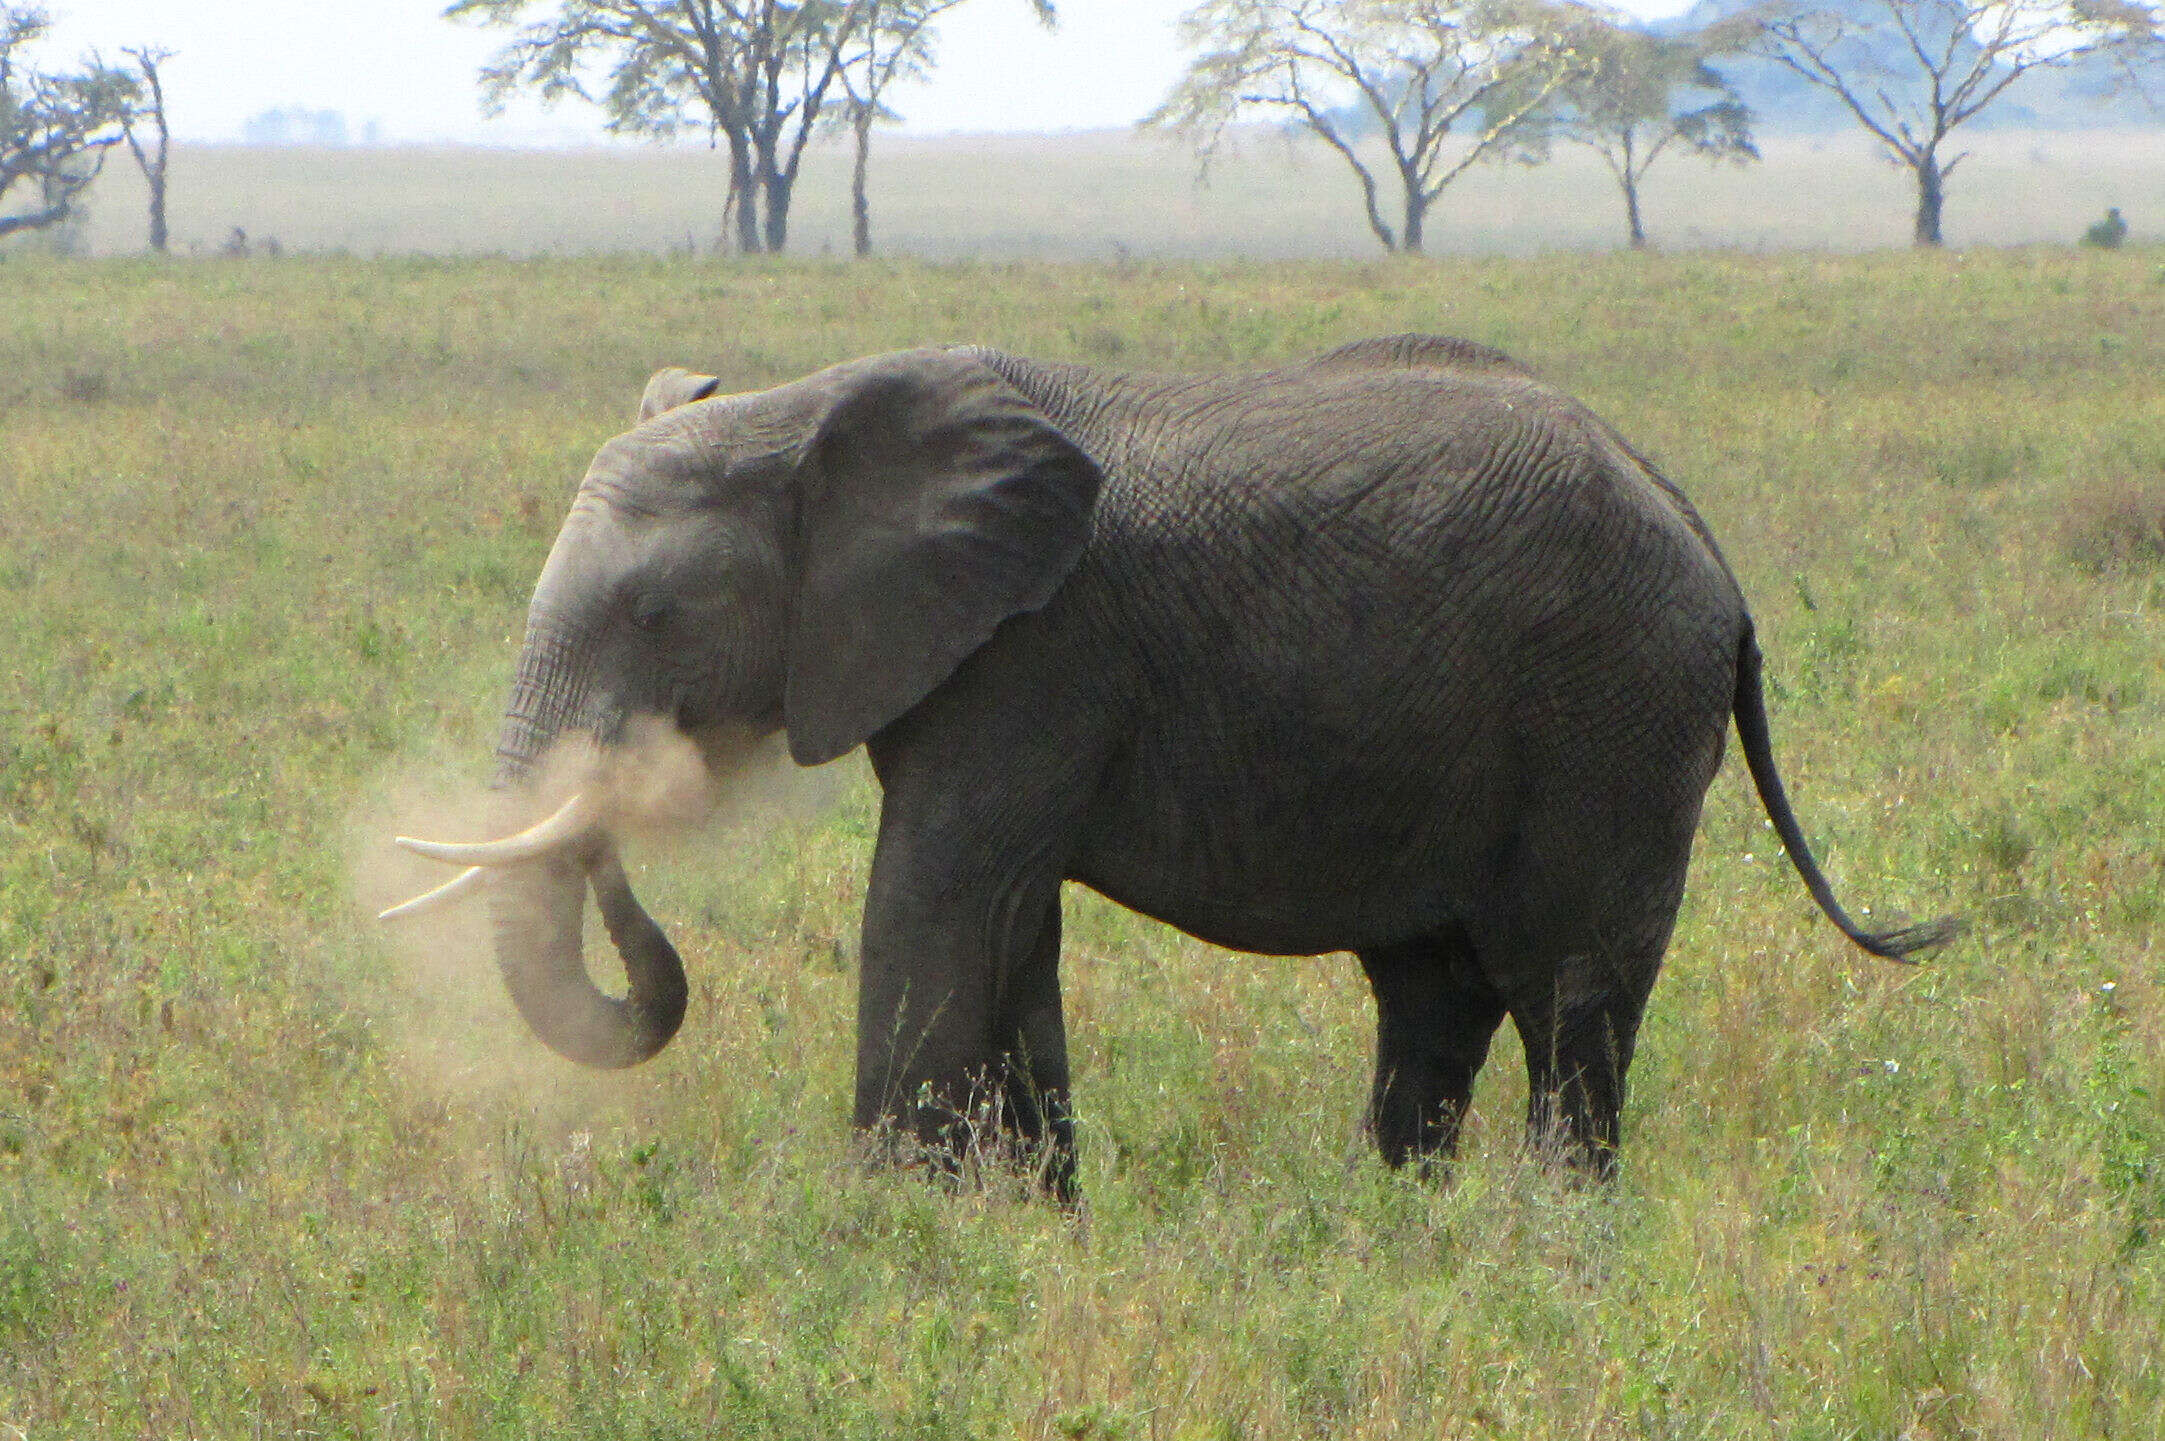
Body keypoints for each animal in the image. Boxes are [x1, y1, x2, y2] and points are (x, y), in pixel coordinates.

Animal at [394, 337, 1965, 1185]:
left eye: (656, 616)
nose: (617, 812)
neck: (811, 409)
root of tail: (1709, 547)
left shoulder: (1037, 651)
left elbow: (933, 903)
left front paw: (879, 1236)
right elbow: (1006, 929)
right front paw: (1029, 1225)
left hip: (1613, 718)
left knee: (1568, 1005)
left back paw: (1547, 1247)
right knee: (1435, 1001)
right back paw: (1400, 1237)